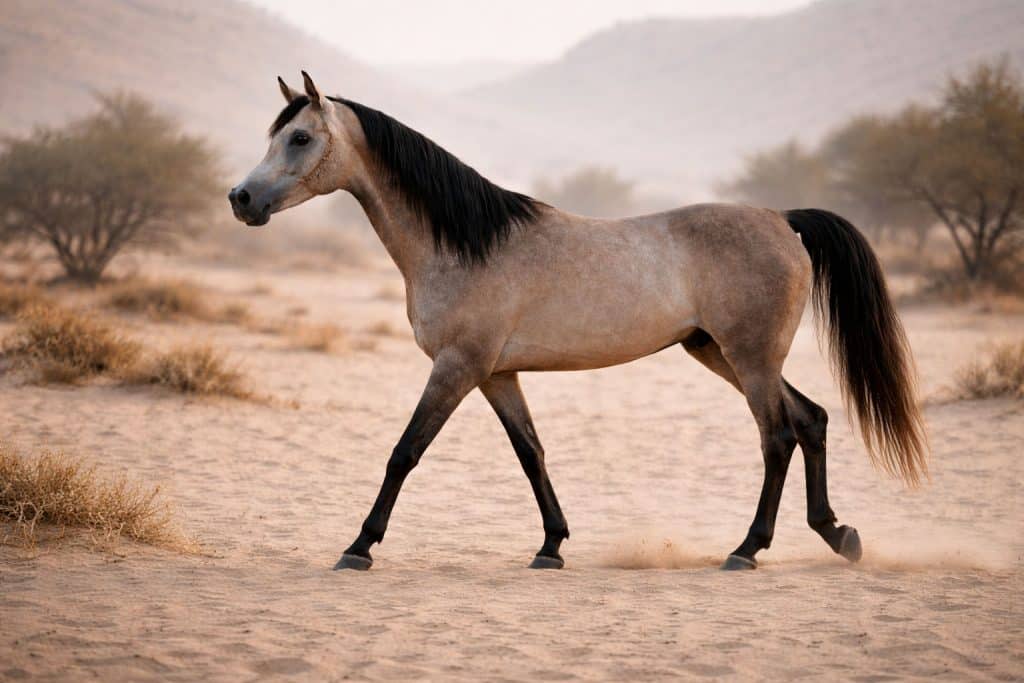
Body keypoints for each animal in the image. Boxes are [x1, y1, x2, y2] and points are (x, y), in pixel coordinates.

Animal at [229, 72, 928, 572]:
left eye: (299, 138)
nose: (241, 199)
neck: (464, 242)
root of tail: (783, 220)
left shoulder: (457, 367)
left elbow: (405, 452)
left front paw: (359, 547)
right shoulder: (496, 374)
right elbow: (531, 452)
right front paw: (552, 546)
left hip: (751, 358)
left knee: (778, 437)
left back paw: (746, 550)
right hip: (719, 352)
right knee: (811, 420)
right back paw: (837, 535)